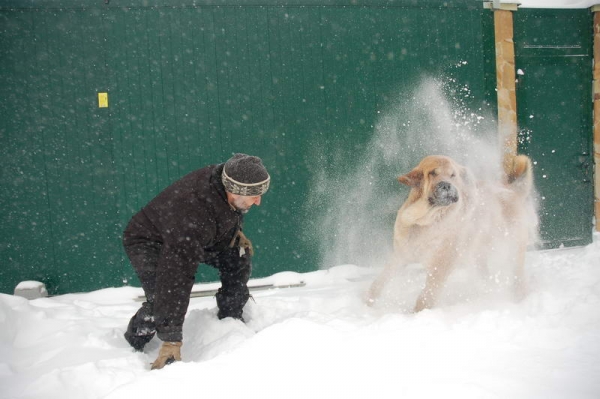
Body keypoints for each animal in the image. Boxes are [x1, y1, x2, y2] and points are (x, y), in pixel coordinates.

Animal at [368, 155, 536, 314]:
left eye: (453, 175)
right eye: (432, 173)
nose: (446, 185)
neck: (426, 221)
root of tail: (512, 190)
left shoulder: (441, 264)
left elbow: (426, 295)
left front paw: (417, 314)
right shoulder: (401, 255)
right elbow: (379, 281)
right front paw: (368, 303)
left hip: (512, 250)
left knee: (518, 277)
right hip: (478, 256)